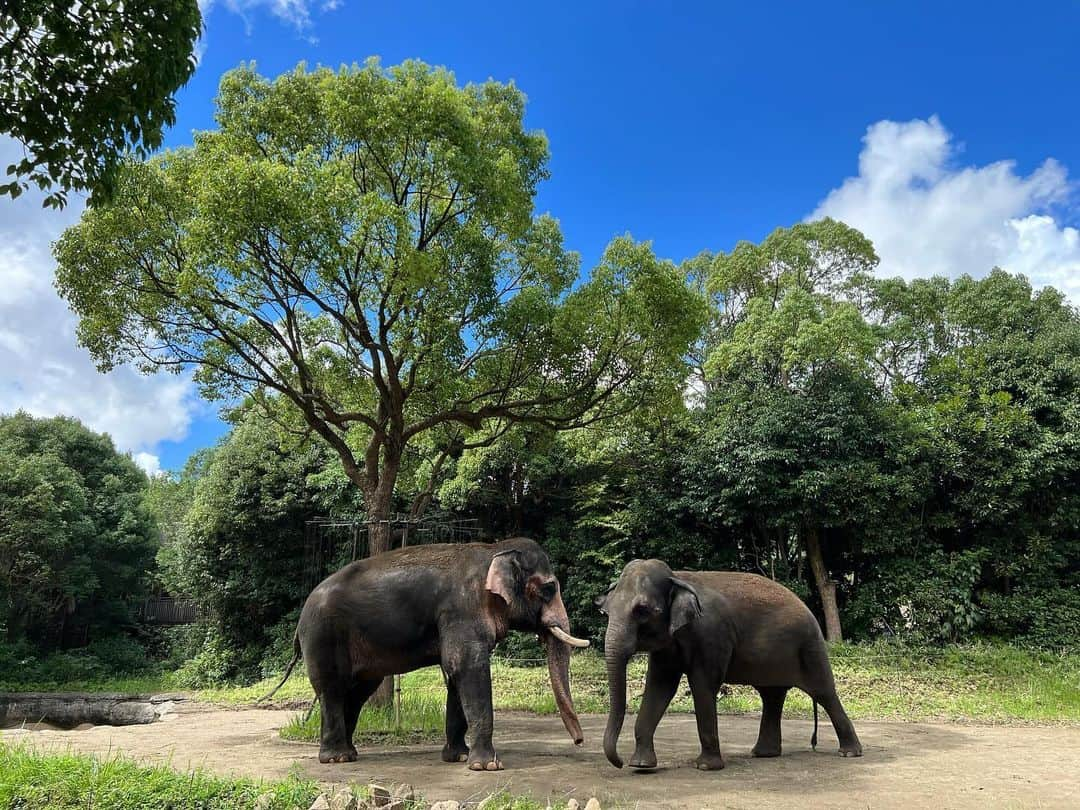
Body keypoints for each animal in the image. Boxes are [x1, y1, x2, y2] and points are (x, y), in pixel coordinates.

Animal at [268, 535, 591, 768]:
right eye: (549, 589)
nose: (579, 742)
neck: (494, 550)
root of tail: (300, 618)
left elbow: (456, 676)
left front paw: (459, 757)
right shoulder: (461, 610)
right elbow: (468, 668)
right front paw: (488, 766)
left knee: (357, 692)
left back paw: (349, 754)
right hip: (323, 637)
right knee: (333, 688)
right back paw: (337, 758)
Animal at [600, 557, 859, 773]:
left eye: (642, 611)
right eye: (606, 611)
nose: (619, 763)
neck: (677, 577)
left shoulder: (712, 636)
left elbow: (703, 686)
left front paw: (706, 767)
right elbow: (659, 687)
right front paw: (641, 766)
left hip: (811, 647)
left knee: (824, 692)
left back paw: (849, 753)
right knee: (772, 696)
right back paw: (763, 754)